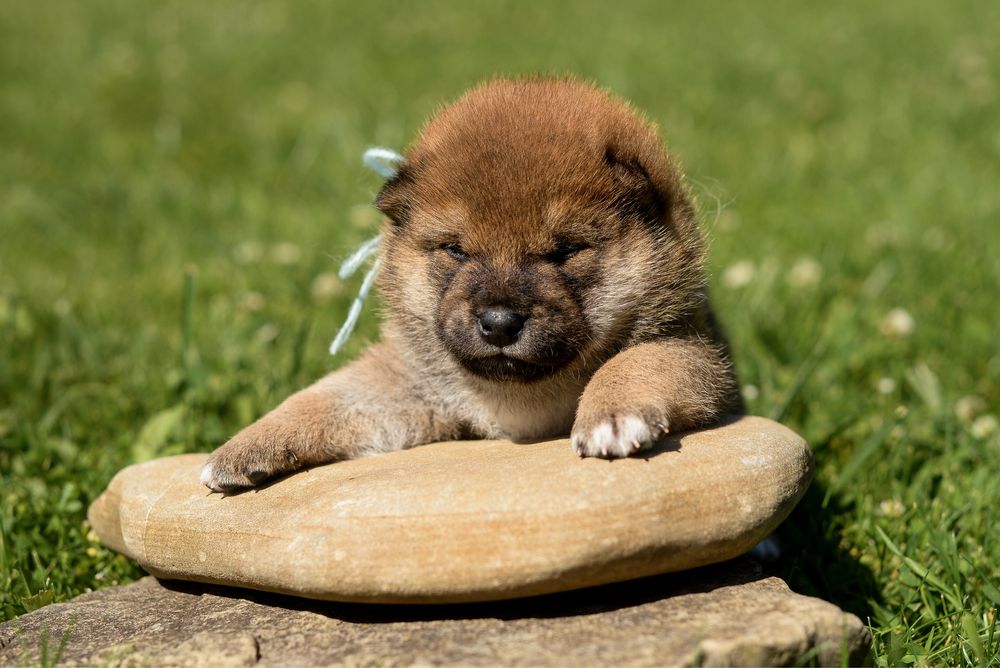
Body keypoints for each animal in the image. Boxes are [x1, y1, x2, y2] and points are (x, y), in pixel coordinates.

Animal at [201, 79, 744, 496]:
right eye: (456, 251)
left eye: (566, 250)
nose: (499, 323)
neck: (519, 401)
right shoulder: (410, 387)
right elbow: (323, 396)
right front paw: (246, 444)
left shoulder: (695, 352)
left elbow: (637, 360)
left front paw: (612, 413)